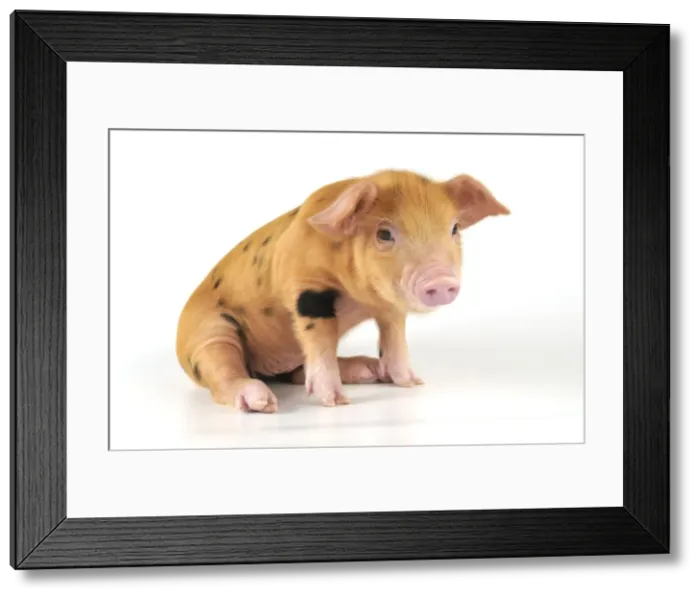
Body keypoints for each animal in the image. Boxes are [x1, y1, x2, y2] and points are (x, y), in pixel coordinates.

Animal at [175, 169, 510, 413]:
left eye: (454, 229)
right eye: (384, 234)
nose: (439, 280)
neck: (359, 296)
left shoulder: (390, 306)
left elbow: (395, 339)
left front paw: (412, 383)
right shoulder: (305, 287)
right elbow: (320, 342)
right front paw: (336, 403)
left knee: (295, 371)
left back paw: (369, 370)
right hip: (208, 336)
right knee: (224, 372)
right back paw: (261, 402)